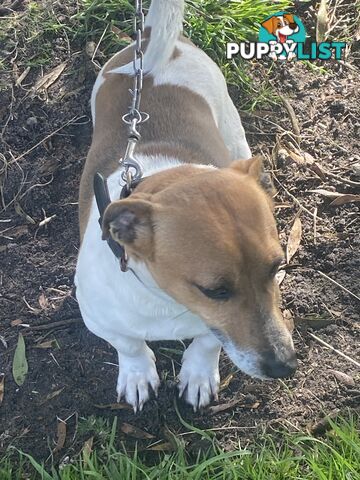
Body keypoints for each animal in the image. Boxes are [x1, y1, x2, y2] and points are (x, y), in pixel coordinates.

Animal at [74, 0, 296, 412]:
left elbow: (208, 341)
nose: (284, 366)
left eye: (278, 267)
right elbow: (128, 344)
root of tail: (153, 48)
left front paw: (197, 373)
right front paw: (137, 373)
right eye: (215, 291)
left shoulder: (213, 330)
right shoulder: (99, 319)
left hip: (231, 127)